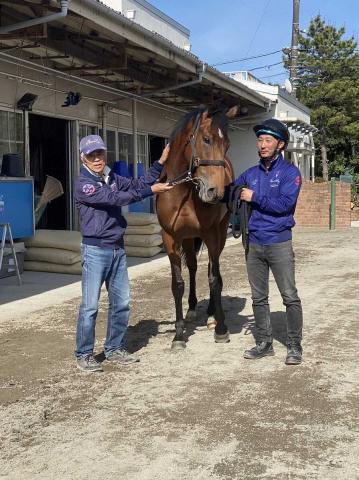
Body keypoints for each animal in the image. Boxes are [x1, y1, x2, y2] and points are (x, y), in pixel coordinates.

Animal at [155, 104, 238, 348]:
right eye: (207, 139)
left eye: (227, 145)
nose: (216, 192)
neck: (182, 192)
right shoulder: (171, 238)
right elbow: (177, 284)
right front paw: (178, 334)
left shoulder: (210, 233)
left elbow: (214, 279)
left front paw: (221, 329)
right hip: (189, 239)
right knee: (192, 266)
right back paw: (192, 308)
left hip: (220, 232)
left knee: (212, 267)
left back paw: (212, 314)